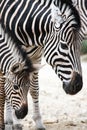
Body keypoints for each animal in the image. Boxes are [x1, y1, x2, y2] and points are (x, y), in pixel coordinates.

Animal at [0, 0, 83, 129]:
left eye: (80, 46)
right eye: (64, 46)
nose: (78, 86)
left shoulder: (35, 58)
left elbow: (34, 89)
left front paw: (38, 122)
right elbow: (6, 89)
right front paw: (12, 121)